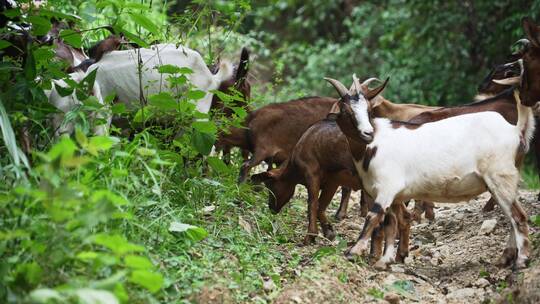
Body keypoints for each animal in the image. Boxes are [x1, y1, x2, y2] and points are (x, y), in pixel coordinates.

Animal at [324, 75, 532, 268]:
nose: (368, 133)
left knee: (518, 216)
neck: (373, 146)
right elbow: (391, 223)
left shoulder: (387, 187)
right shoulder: (395, 195)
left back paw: (521, 261)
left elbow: (373, 216)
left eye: (368, 109)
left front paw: (353, 252)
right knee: (511, 217)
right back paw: (505, 258)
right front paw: (386, 260)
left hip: (500, 176)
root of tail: (514, 130)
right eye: (345, 110)